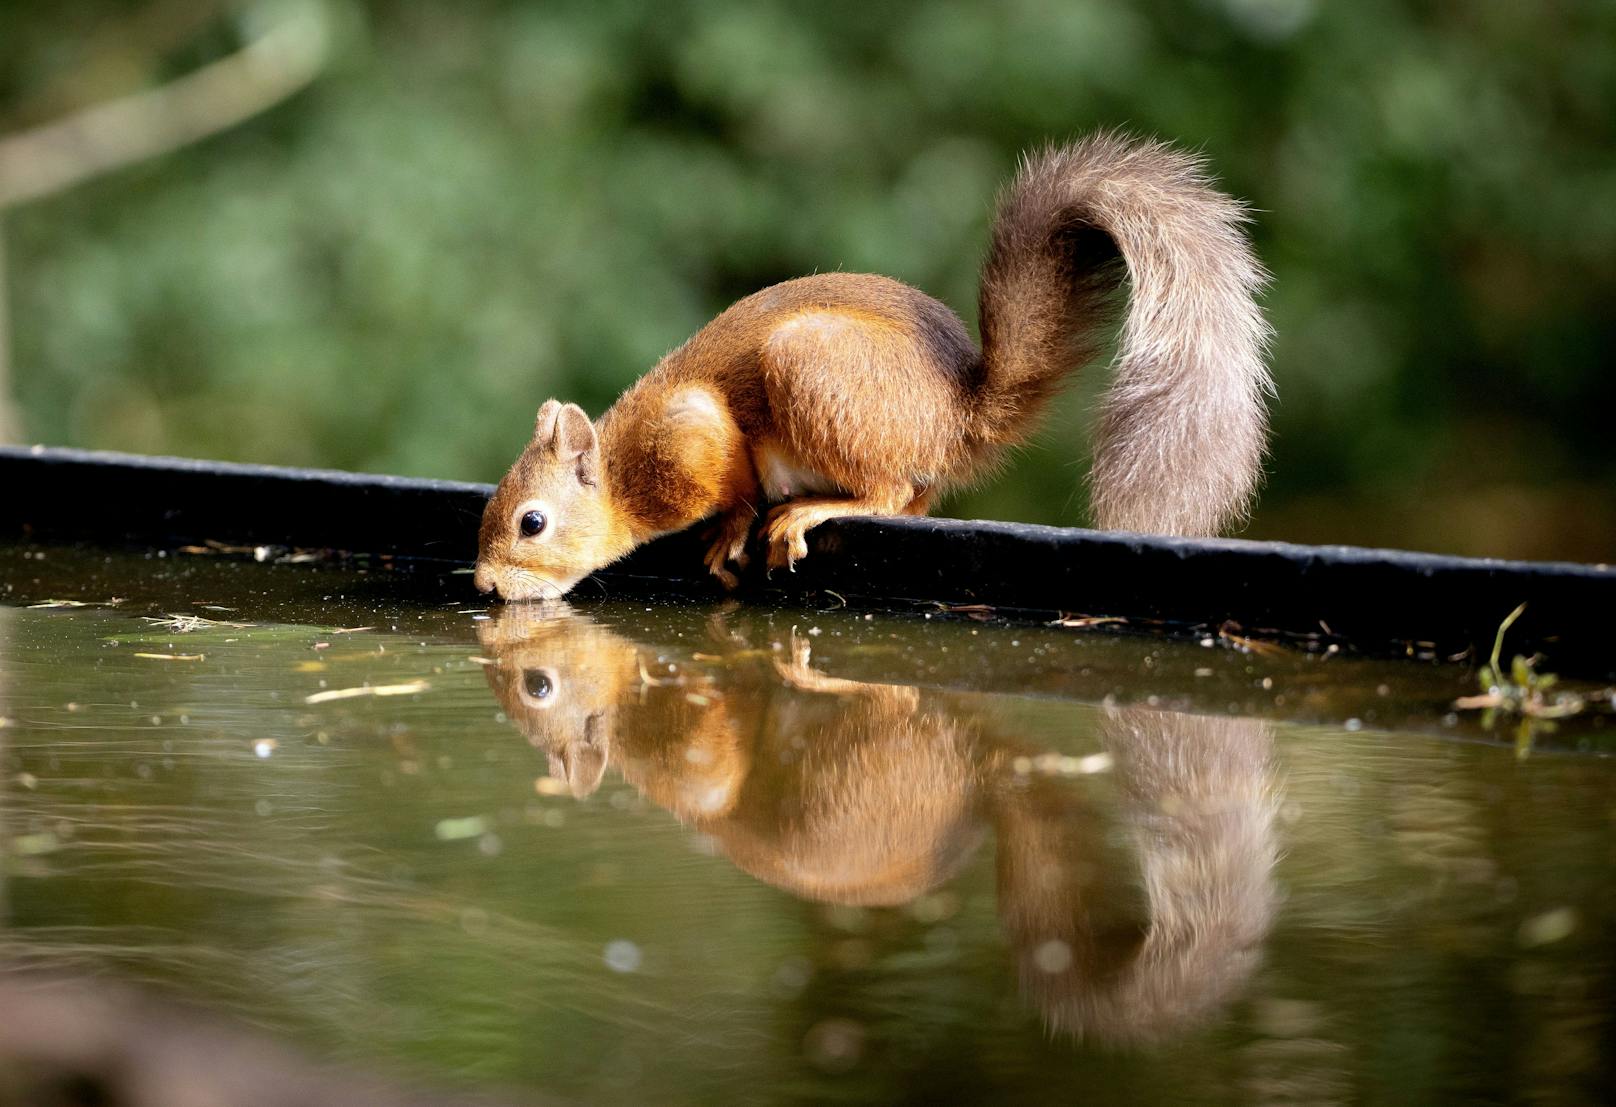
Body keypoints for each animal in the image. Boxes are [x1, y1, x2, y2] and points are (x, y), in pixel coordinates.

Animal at [471, 134, 1266, 601]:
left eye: (532, 522)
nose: (484, 586)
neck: (625, 469)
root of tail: (956, 416)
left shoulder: (692, 435)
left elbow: (733, 483)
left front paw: (729, 530)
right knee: (914, 498)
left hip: (811, 368)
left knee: (887, 493)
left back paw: (813, 510)